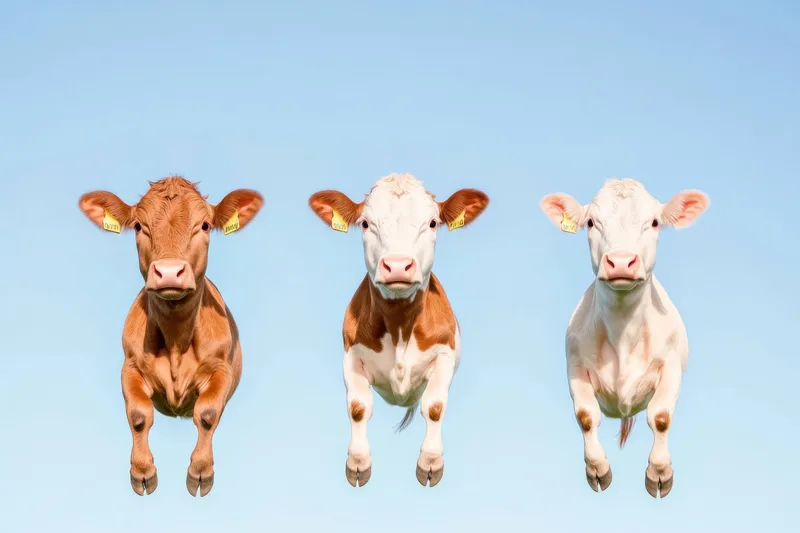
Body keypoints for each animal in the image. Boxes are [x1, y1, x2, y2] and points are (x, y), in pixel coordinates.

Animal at [78, 176, 263, 497]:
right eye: (138, 226)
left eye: (204, 225)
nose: (168, 272)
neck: (177, 338)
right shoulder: (130, 366)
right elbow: (139, 414)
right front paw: (142, 473)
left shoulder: (221, 369)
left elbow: (207, 412)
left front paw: (200, 472)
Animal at [308, 173, 489, 487]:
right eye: (365, 223)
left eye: (432, 223)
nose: (397, 266)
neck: (399, 325)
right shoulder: (351, 356)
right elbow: (358, 407)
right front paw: (358, 464)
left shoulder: (445, 354)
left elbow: (434, 406)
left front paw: (430, 463)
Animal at [539, 178, 709, 498]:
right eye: (591, 222)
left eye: (654, 222)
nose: (620, 262)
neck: (623, 335)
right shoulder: (575, 366)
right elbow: (586, 416)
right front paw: (598, 470)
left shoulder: (671, 367)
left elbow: (661, 417)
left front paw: (659, 473)